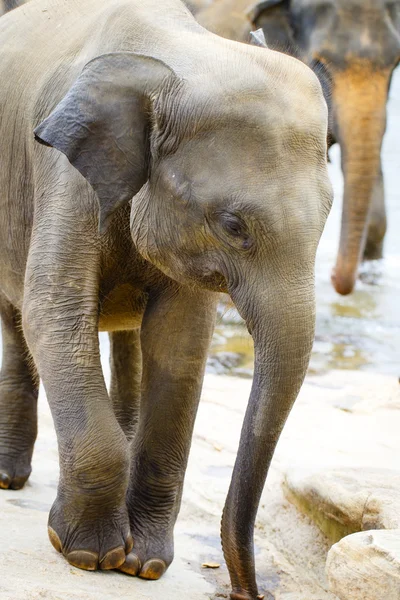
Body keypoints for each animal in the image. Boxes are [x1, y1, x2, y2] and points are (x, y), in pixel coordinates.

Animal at [0, 1, 332, 600]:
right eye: (232, 226)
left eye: (328, 217)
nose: (248, 591)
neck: (175, 57)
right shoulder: (64, 175)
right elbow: (54, 314)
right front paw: (87, 554)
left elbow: (180, 345)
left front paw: (144, 565)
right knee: (17, 318)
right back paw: (9, 479)